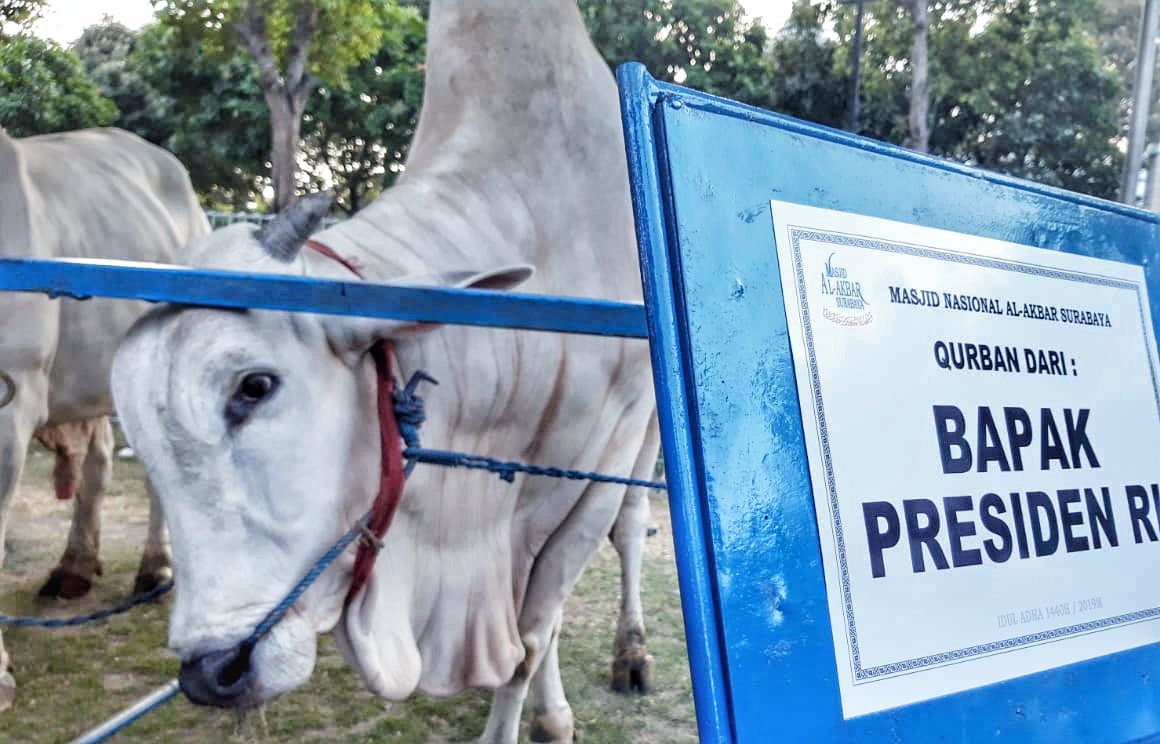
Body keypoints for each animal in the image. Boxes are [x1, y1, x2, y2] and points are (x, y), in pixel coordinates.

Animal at [113, 2, 658, 738]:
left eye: (254, 386)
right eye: (137, 437)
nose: (211, 672)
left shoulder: (602, 463)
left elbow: (529, 636)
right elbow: (530, 632)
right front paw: (550, 715)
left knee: (629, 530)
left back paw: (631, 657)